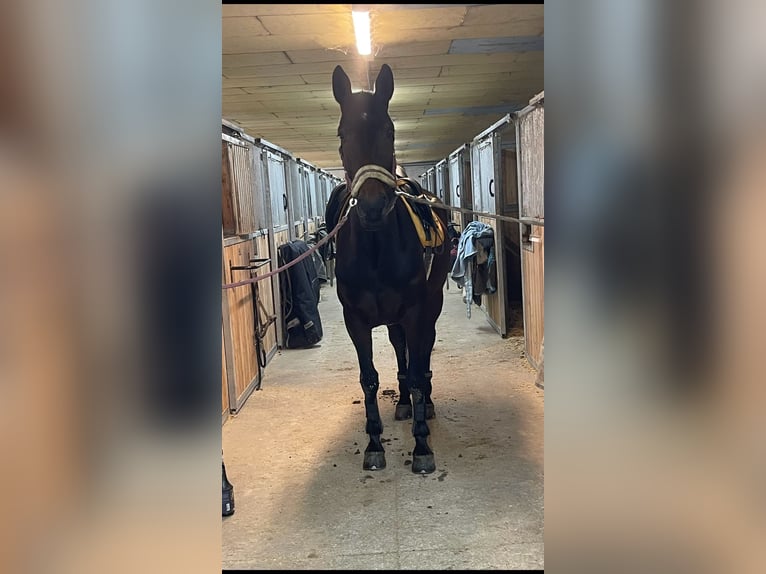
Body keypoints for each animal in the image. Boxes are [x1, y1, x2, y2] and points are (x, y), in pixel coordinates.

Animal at [324, 64, 451, 474]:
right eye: (342, 133)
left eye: (390, 130)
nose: (372, 207)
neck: (376, 250)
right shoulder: (355, 319)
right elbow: (369, 379)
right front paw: (374, 444)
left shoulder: (415, 311)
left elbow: (416, 371)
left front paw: (422, 447)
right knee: (400, 349)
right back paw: (403, 406)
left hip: (431, 304)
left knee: (422, 355)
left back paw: (424, 404)